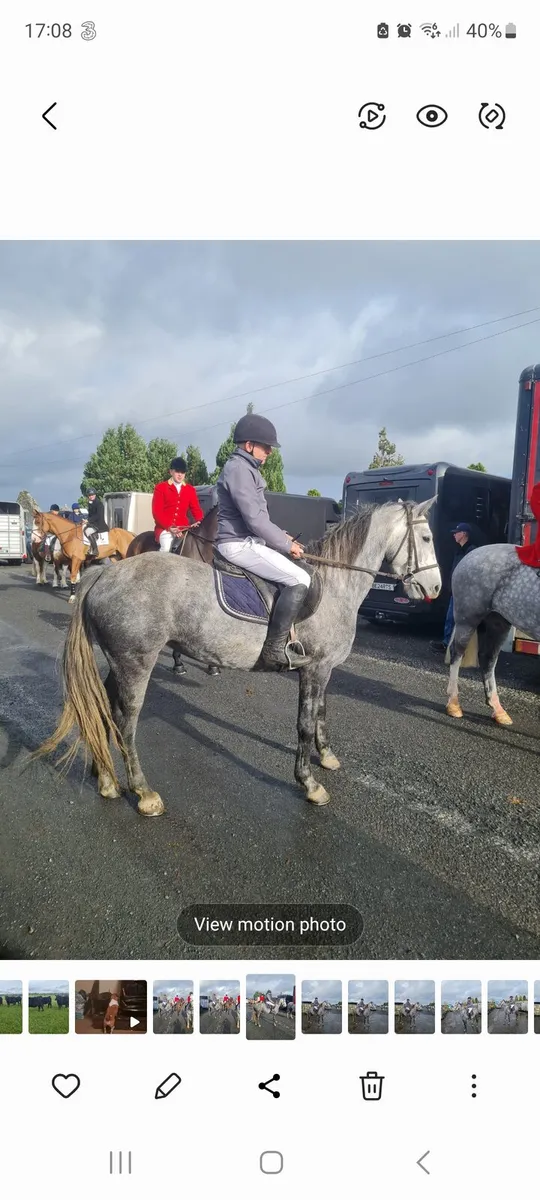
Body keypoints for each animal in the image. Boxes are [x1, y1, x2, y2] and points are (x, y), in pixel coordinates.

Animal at [34, 498, 441, 816]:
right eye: (426, 538)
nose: (436, 588)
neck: (334, 585)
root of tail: (105, 575)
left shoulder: (323, 669)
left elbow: (322, 714)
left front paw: (326, 757)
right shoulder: (315, 670)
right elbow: (305, 724)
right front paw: (309, 783)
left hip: (119, 662)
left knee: (101, 705)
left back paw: (104, 775)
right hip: (136, 663)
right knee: (125, 720)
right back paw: (143, 792)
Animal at [445, 542, 540, 725]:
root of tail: (471, 554)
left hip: (498, 622)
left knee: (488, 658)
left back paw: (497, 708)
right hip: (467, 619)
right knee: (457, 653)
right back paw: (453, 703)